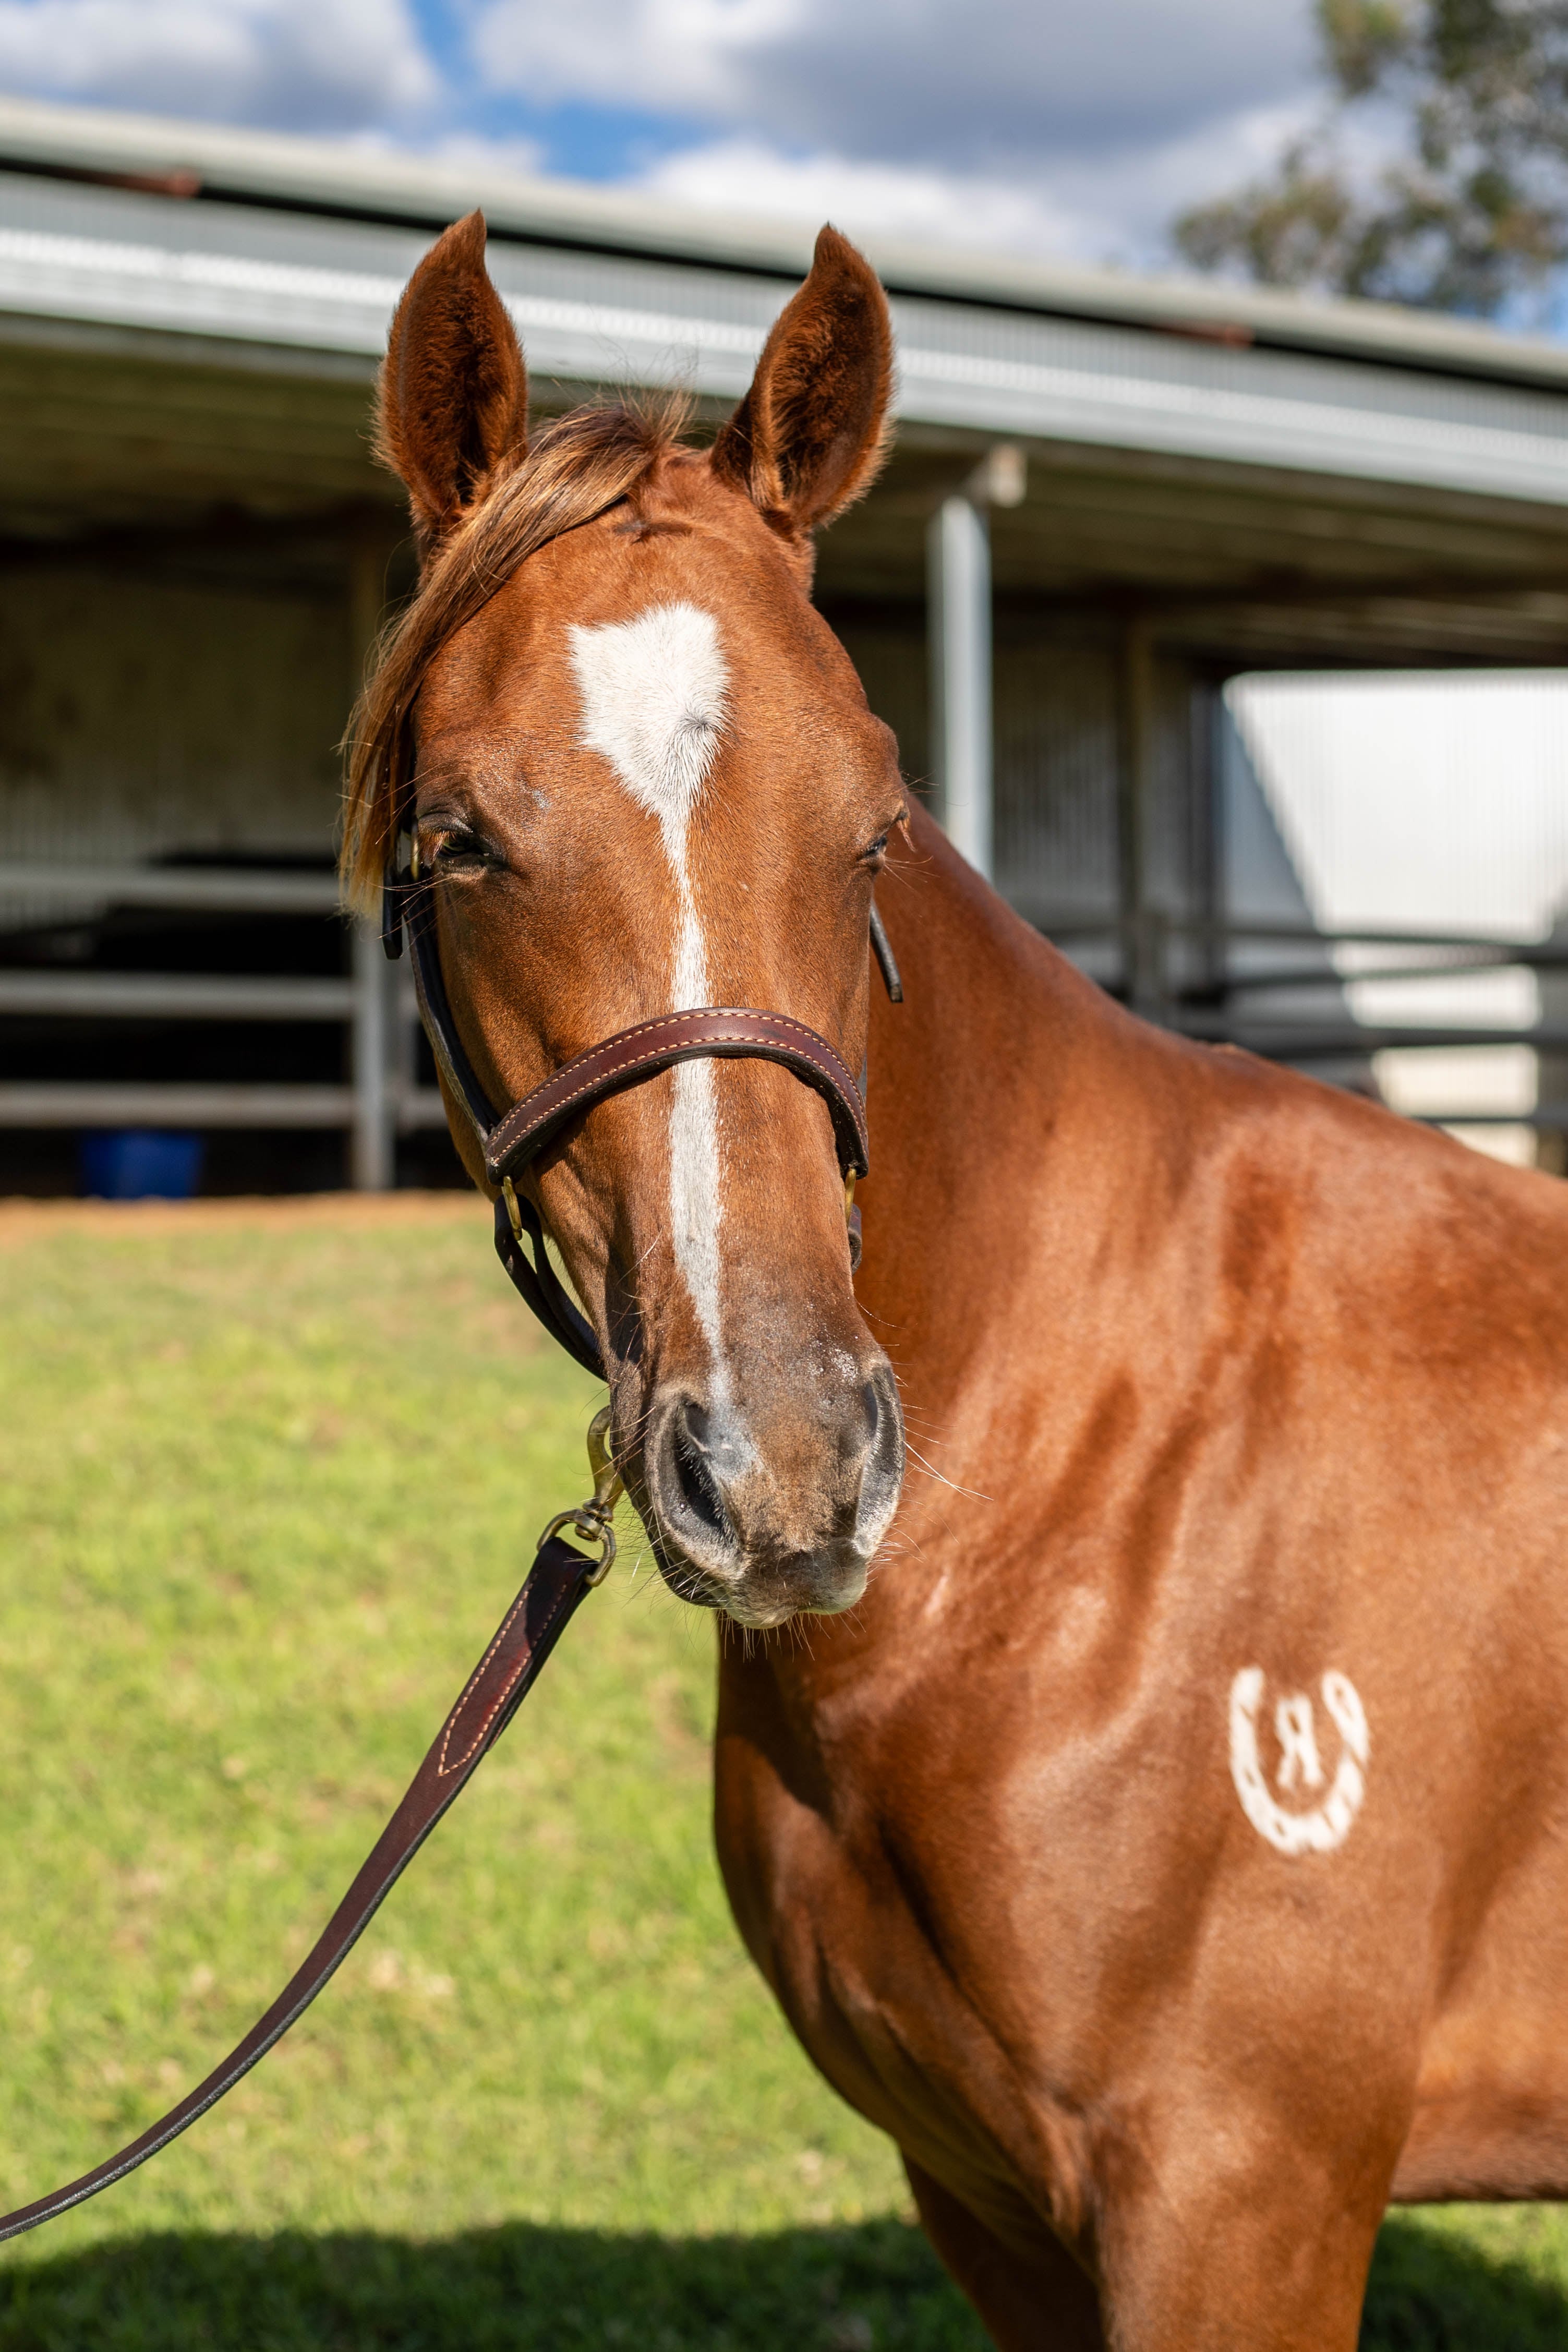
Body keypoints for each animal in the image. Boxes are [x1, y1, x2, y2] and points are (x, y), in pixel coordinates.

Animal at [344, 211, 1568, 2350]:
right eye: (461, 837)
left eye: (872, 827)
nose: (786, 1469)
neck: (1108, 1475)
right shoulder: (988, 2198)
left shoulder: (1243, 2207)